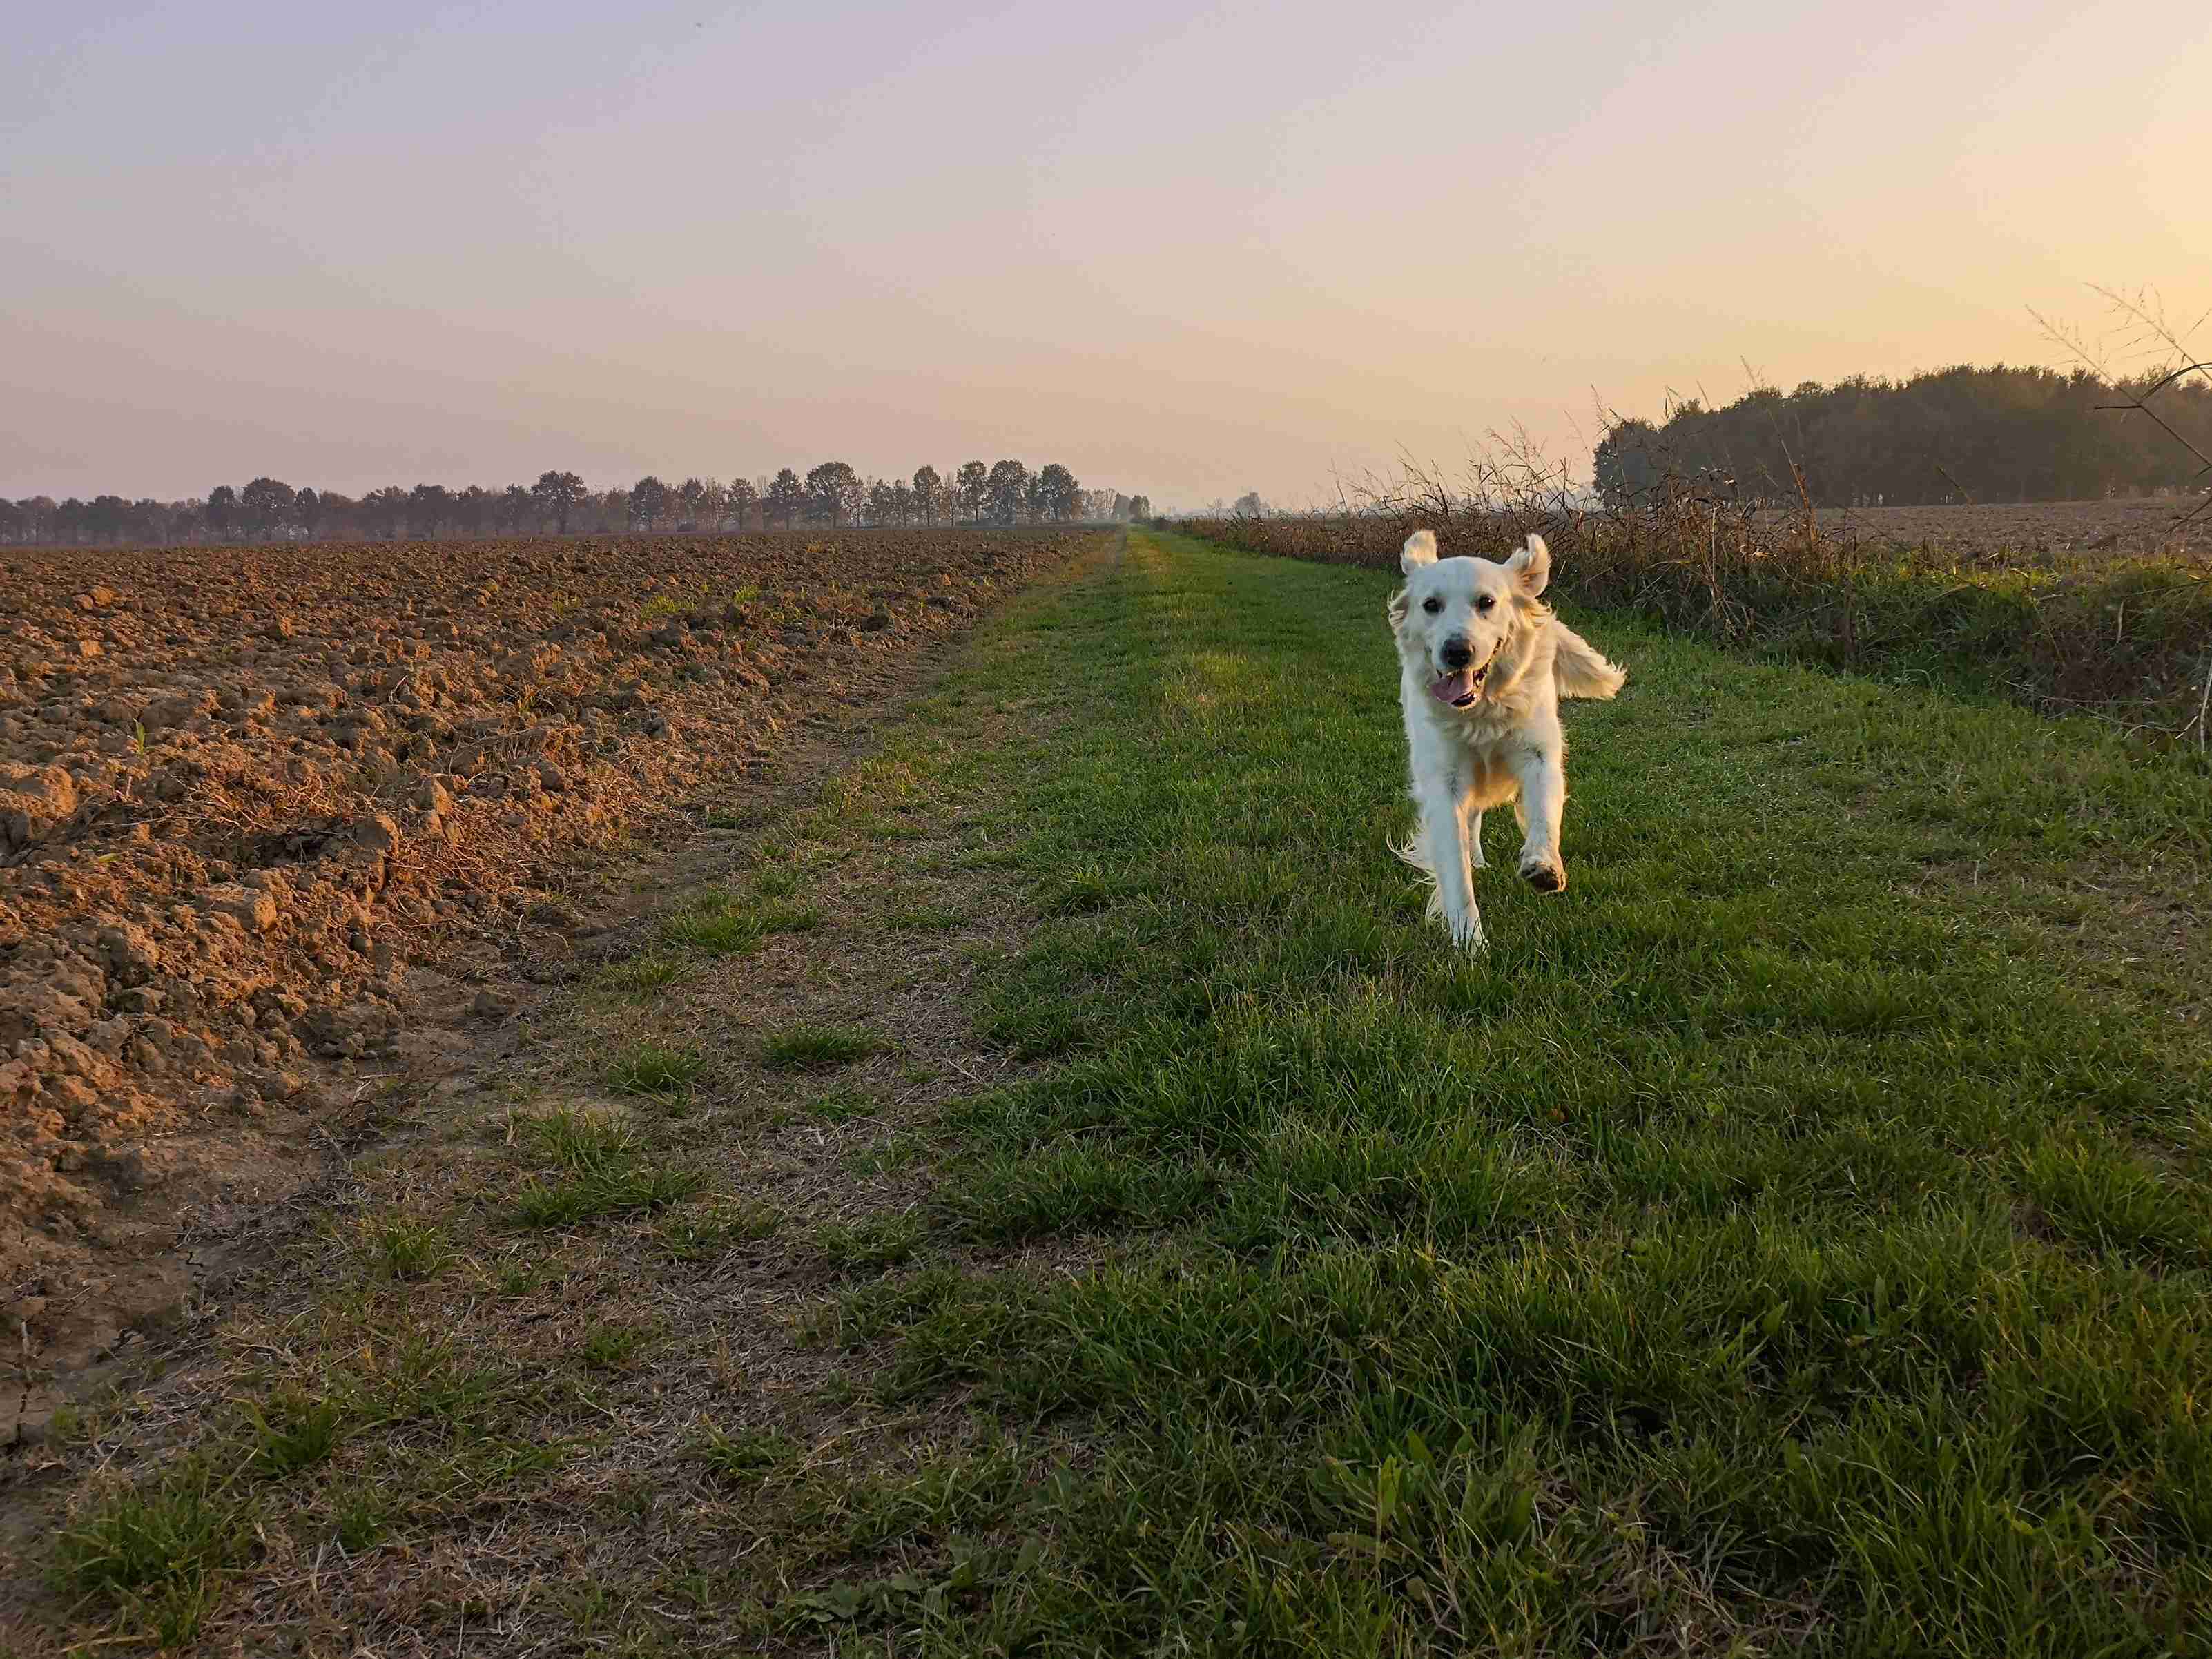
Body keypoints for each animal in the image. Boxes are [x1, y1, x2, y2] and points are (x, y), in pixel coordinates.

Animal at [1380, 533, 1628, 947]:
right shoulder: (1444, 780)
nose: (1457, 651)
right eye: (1431, 605)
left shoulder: (1538, 755)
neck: (1482, 712)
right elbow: (1455, 869)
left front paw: (1543, 864)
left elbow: (1544, 813)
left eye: (1486, 602)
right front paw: (1470, 942)